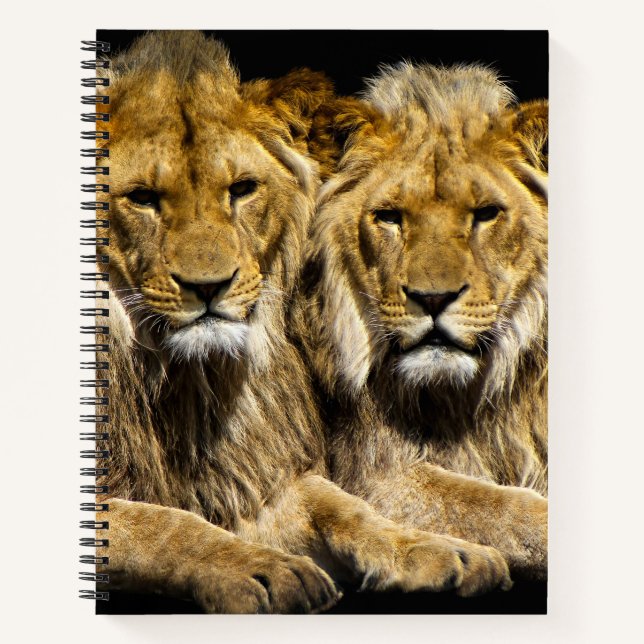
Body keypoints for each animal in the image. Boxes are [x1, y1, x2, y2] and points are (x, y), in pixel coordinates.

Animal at [89, 34, 512, 612]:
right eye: (142, 198)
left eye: (242, 189)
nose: (209, 287)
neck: (186, 380)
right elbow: (168, 525)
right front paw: (262, 569)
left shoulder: (253, 477)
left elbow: (339, 504)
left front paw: (438, 548)